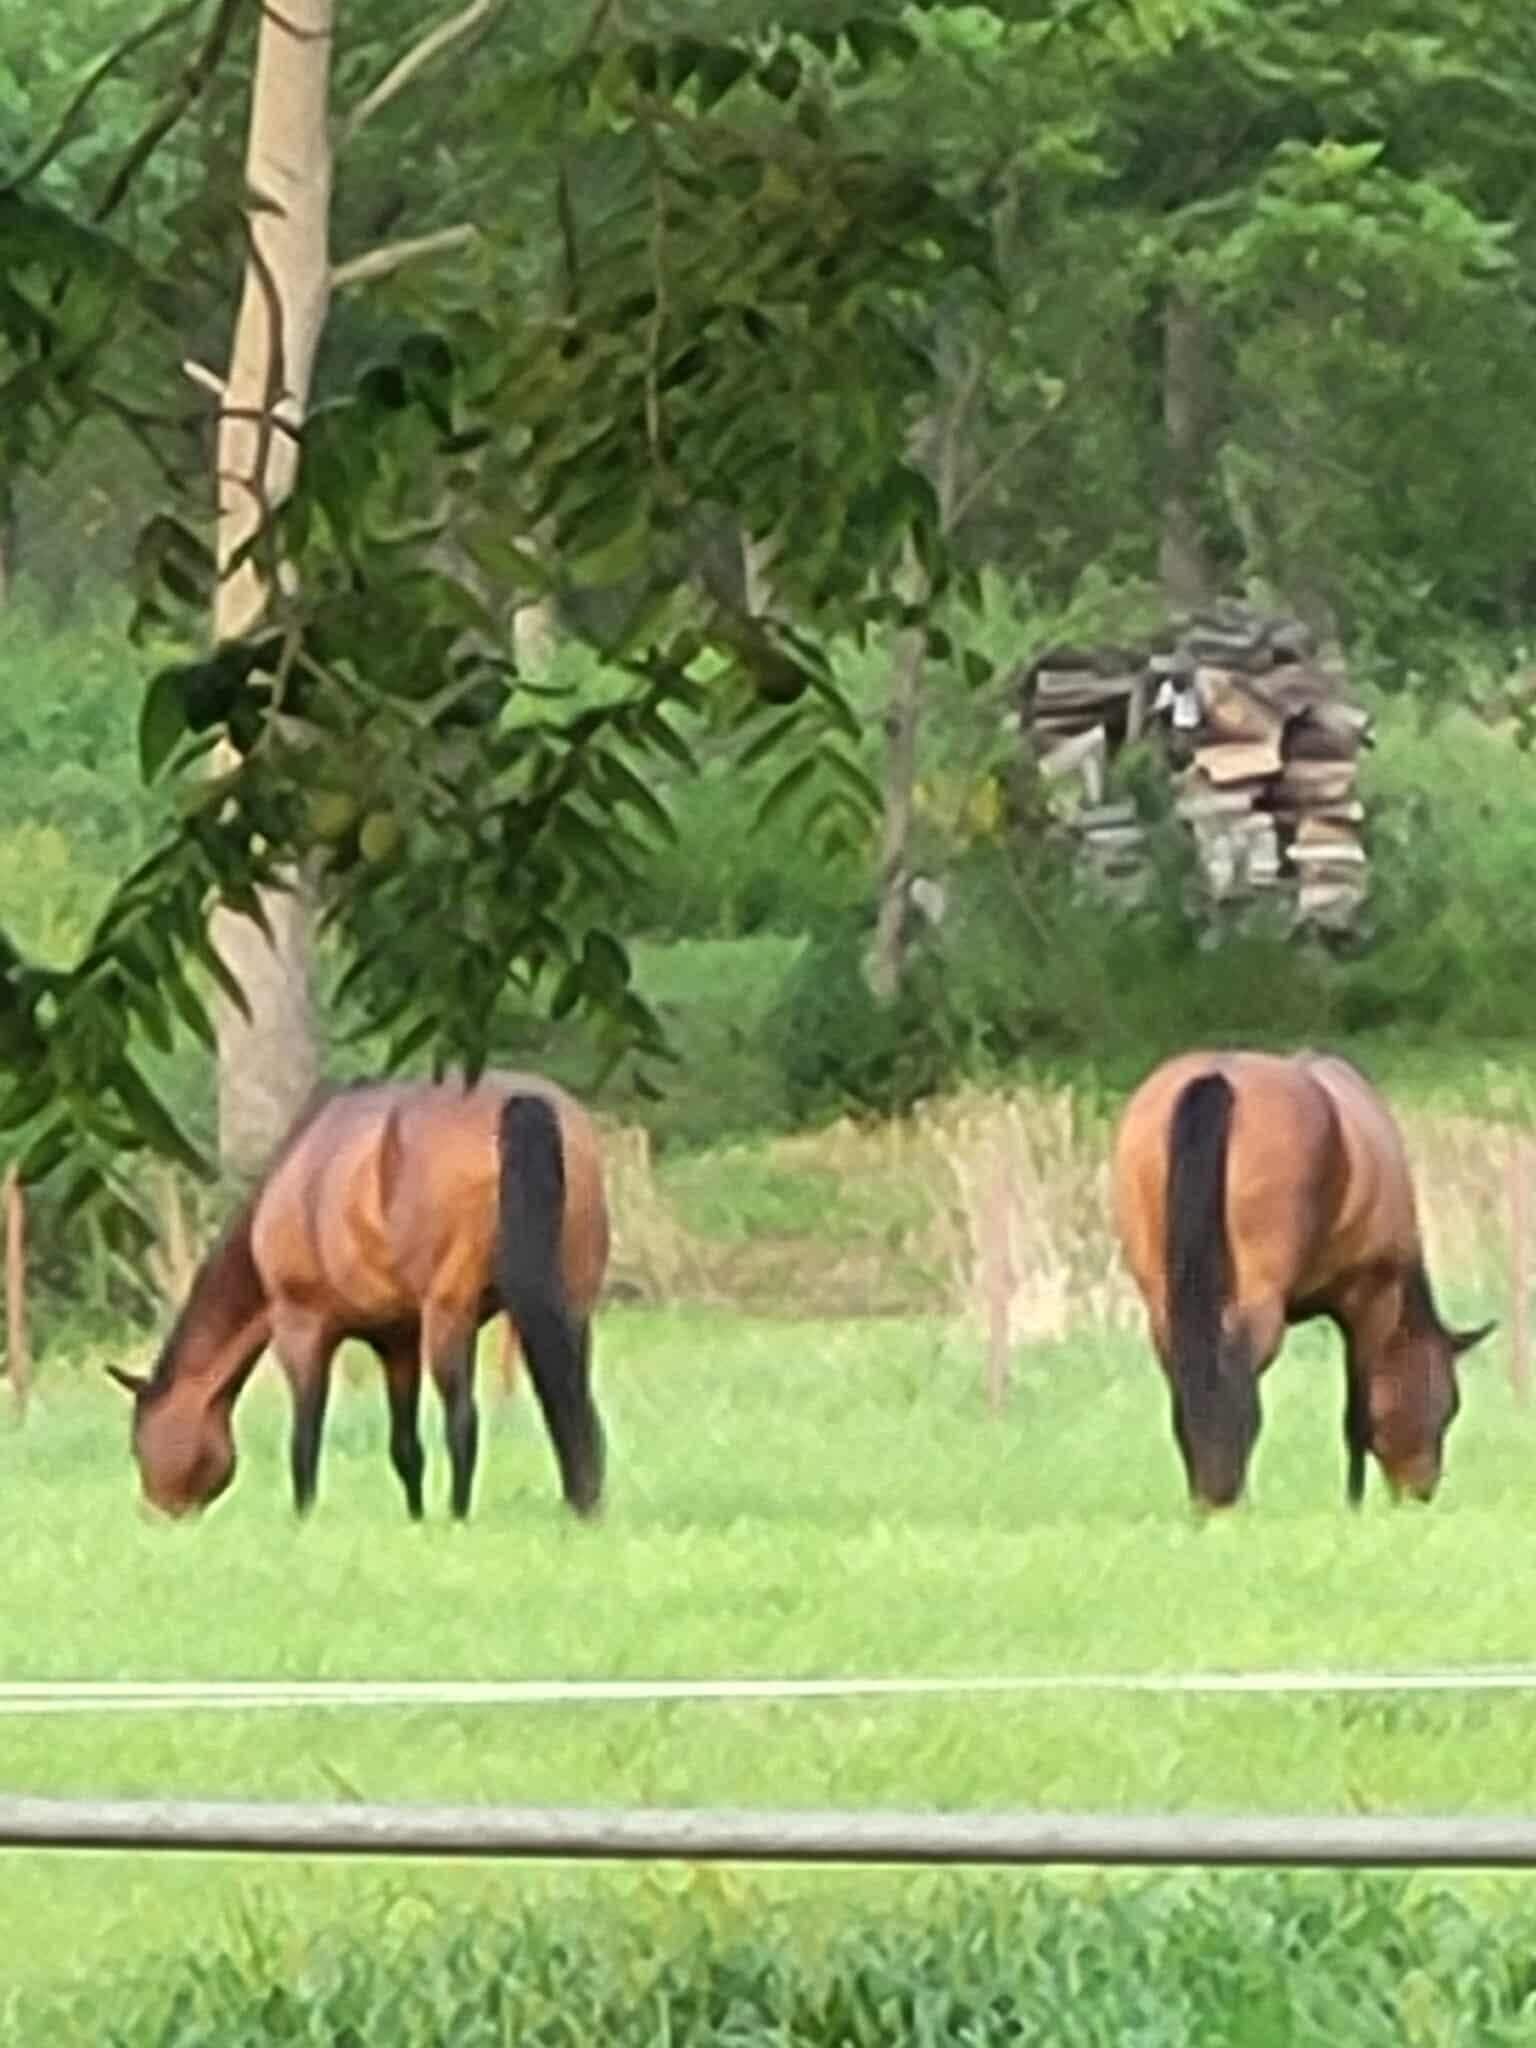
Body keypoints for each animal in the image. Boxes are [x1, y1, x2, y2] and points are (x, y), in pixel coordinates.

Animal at [107, 1072, 609, 1524]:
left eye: (138, 1441)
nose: (156, 1516)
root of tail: (522, 1104)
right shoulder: (398, 1341)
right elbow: (405, 1447)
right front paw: (415, 1519)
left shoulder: (301, 1329)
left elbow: (304, 1438)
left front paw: (304, 1518)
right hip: (570, 1307)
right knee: (573, 1402)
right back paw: (581, 1504)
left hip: (450, 1315)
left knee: (463, 1420)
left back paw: (459, 1515)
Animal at [1110, 1048, 1494, 1512]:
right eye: (1448, 1405)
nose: (1420, 1493)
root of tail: (1215, 1078)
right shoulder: (1371, 1301)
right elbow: (1357, 1414)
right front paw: (1353, 1502)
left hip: (1165, 1299)